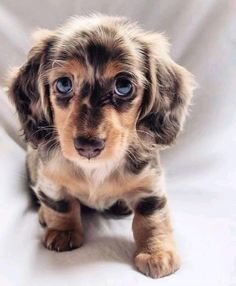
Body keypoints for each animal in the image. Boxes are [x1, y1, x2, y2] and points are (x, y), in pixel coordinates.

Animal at [7, 14, 195, 278]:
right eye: (63, 84)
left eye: (123, 86)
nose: (88, 146)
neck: (95, 168)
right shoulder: (50, 177)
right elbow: (61, 205)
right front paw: (63, 231)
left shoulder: (150, 184)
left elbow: (151, 219)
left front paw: (156, 252)